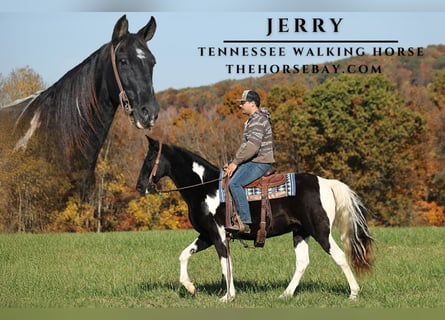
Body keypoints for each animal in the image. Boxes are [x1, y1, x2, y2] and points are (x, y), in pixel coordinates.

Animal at [137, 136, 372, 302]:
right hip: (300, 232)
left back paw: (354, 293)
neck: (205, 187)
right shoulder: (207, 234)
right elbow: (185, 255)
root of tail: (325, 182)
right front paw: (190, 287)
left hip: (320, 231)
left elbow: (225, 263)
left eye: (149, 159)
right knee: (302, 263)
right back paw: (285, 295)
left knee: (339, 256)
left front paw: (228, 296)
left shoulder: (217, 234)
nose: (140, 187)